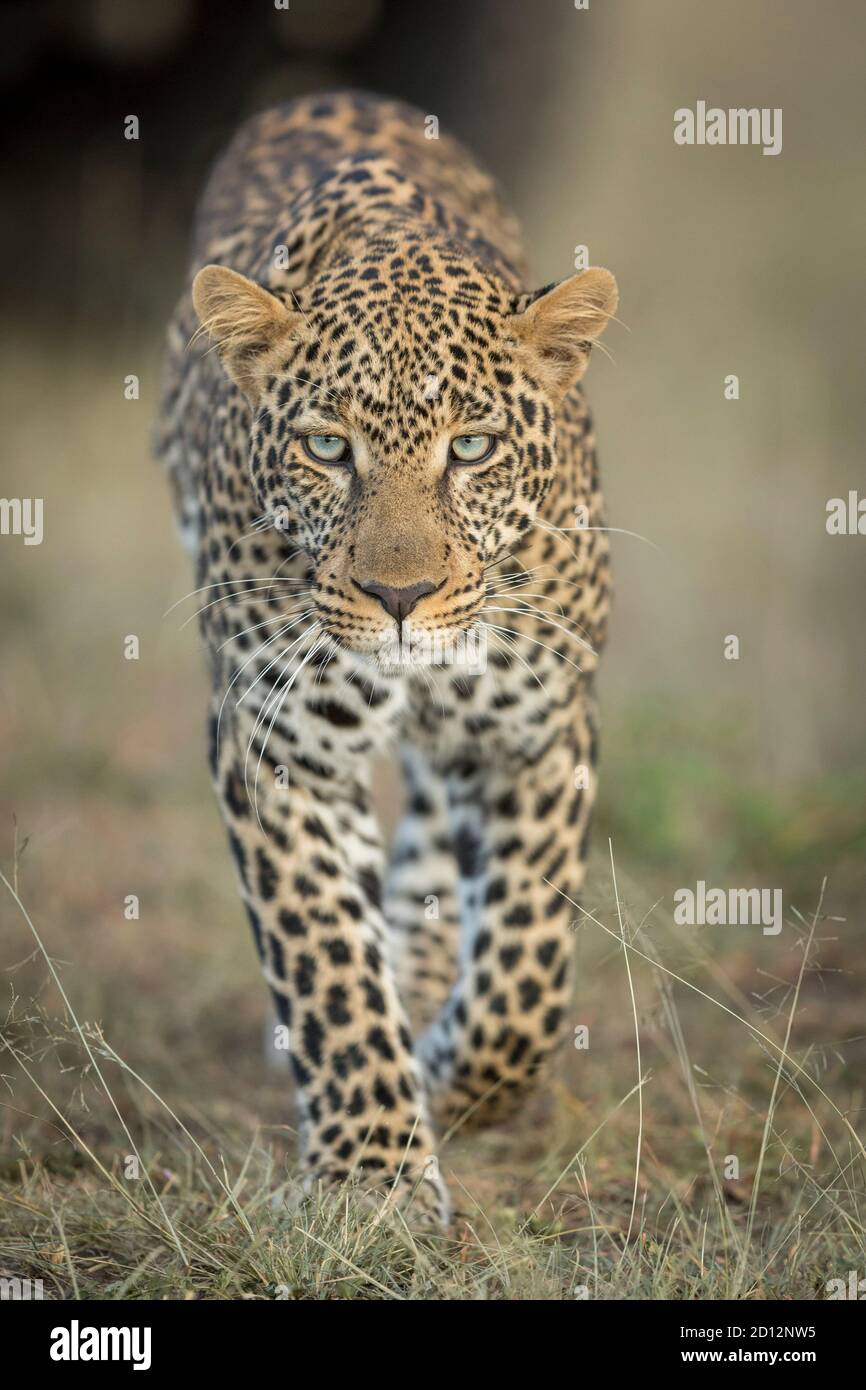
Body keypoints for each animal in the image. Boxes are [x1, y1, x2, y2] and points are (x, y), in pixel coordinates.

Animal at [155, 92, 617, 1234]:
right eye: (327, 448)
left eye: (472, 448)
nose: (400, 599)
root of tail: (325, 93)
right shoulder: (279, 747)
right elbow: (326, 959)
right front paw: (372, 1177)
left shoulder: (538, 731)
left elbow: (523, 979)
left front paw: (453, 1069)